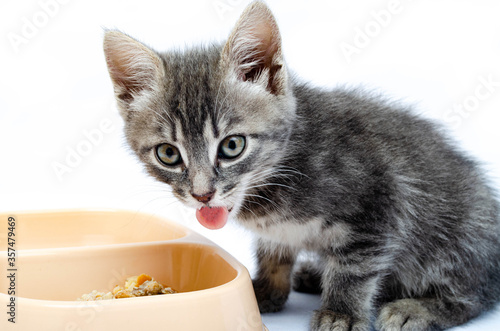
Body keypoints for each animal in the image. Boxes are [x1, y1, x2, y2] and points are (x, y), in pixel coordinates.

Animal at [102, 1, 500, 330]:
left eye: (232, 146)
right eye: (168, 154)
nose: (202, 195)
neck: (280, 170)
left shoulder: (381, 200)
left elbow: (354, 268)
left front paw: (341, 313)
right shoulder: (277, 231)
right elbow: (274, 250)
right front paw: (265, 290)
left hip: (453, 236)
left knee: (474, 292)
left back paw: (415, 308)